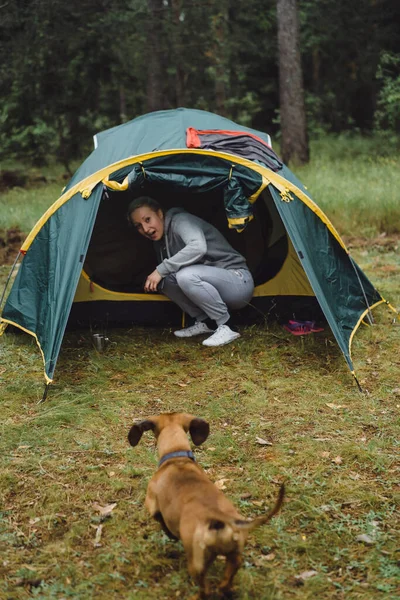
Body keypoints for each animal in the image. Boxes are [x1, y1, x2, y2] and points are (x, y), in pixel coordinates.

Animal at [128, 414, 284, 596]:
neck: (177, 458)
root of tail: (221, 521)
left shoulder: (153, 505)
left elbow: (162, 522)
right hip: (234, 556)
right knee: (227, 579)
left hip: (198, 564)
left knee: (205, 590)